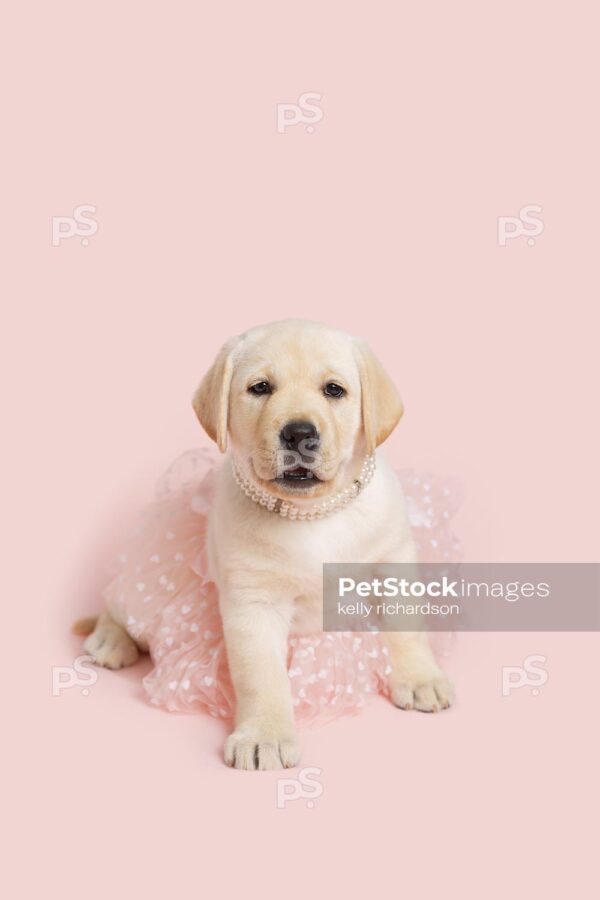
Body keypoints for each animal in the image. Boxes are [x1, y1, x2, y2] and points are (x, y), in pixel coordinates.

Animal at [82, 320, 452, 768]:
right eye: (260, 388)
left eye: (334, 390)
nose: (299, 433)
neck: (314, 513)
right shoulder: (253, 603)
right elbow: (260, 675)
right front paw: (264, 736)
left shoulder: (392, 563)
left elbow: (405, 629)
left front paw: (420, 678)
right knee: (118, 601)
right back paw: (109, 639)